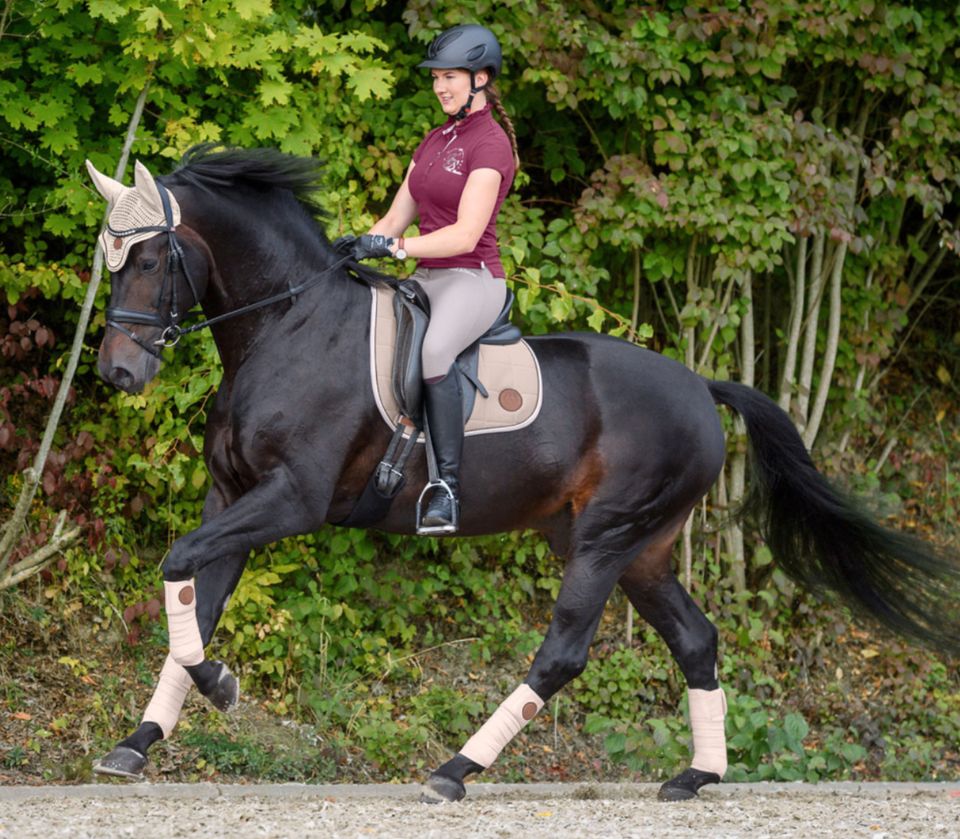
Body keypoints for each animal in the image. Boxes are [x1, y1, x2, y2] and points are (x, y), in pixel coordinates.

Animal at [86, 148, 960, 804]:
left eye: (153, 256)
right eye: (110, 258)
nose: (119, 372)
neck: (286, 327)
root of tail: (699, 386)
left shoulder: (290, 500)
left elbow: (179, 567)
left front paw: (220, 686)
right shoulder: (233, 496)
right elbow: (197, 601)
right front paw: (138, 741)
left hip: (605, 539)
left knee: (565, 651)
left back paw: (455, 769)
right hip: (637, 548)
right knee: (696, 637)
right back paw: (696, 775)